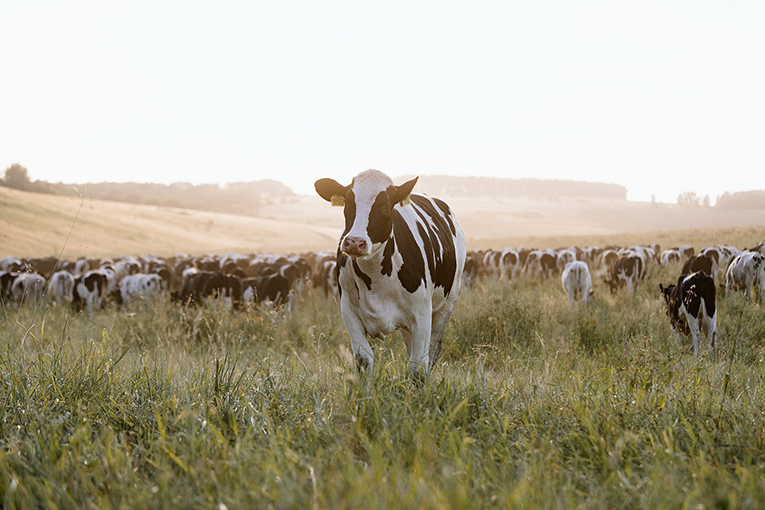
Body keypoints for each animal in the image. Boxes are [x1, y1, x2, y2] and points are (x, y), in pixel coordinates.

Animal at [312, 168, 466, 378]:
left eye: (385, 206)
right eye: (348, 203)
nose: (354, 242)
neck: (376, 277)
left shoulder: (422, 315)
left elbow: (418, 368)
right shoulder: (349, 312)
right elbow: (364, 361)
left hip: (447, 304)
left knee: (432, 352)